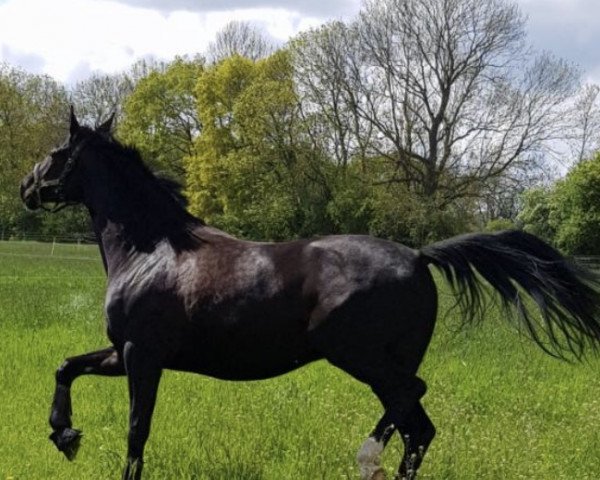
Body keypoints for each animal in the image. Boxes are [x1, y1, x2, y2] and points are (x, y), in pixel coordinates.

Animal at [18, 109, 600, 480]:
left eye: (56, 152)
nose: (26, 187)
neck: (153, 249)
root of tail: (418, 256)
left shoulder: (143, 356)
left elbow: (137, 431)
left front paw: (77, 442)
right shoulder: (124, 352)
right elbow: (66, 367)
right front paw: (64, 436)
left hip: (359, 356)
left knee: (413, 406)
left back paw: (367, 459)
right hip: (383, 362)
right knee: (417, 426)